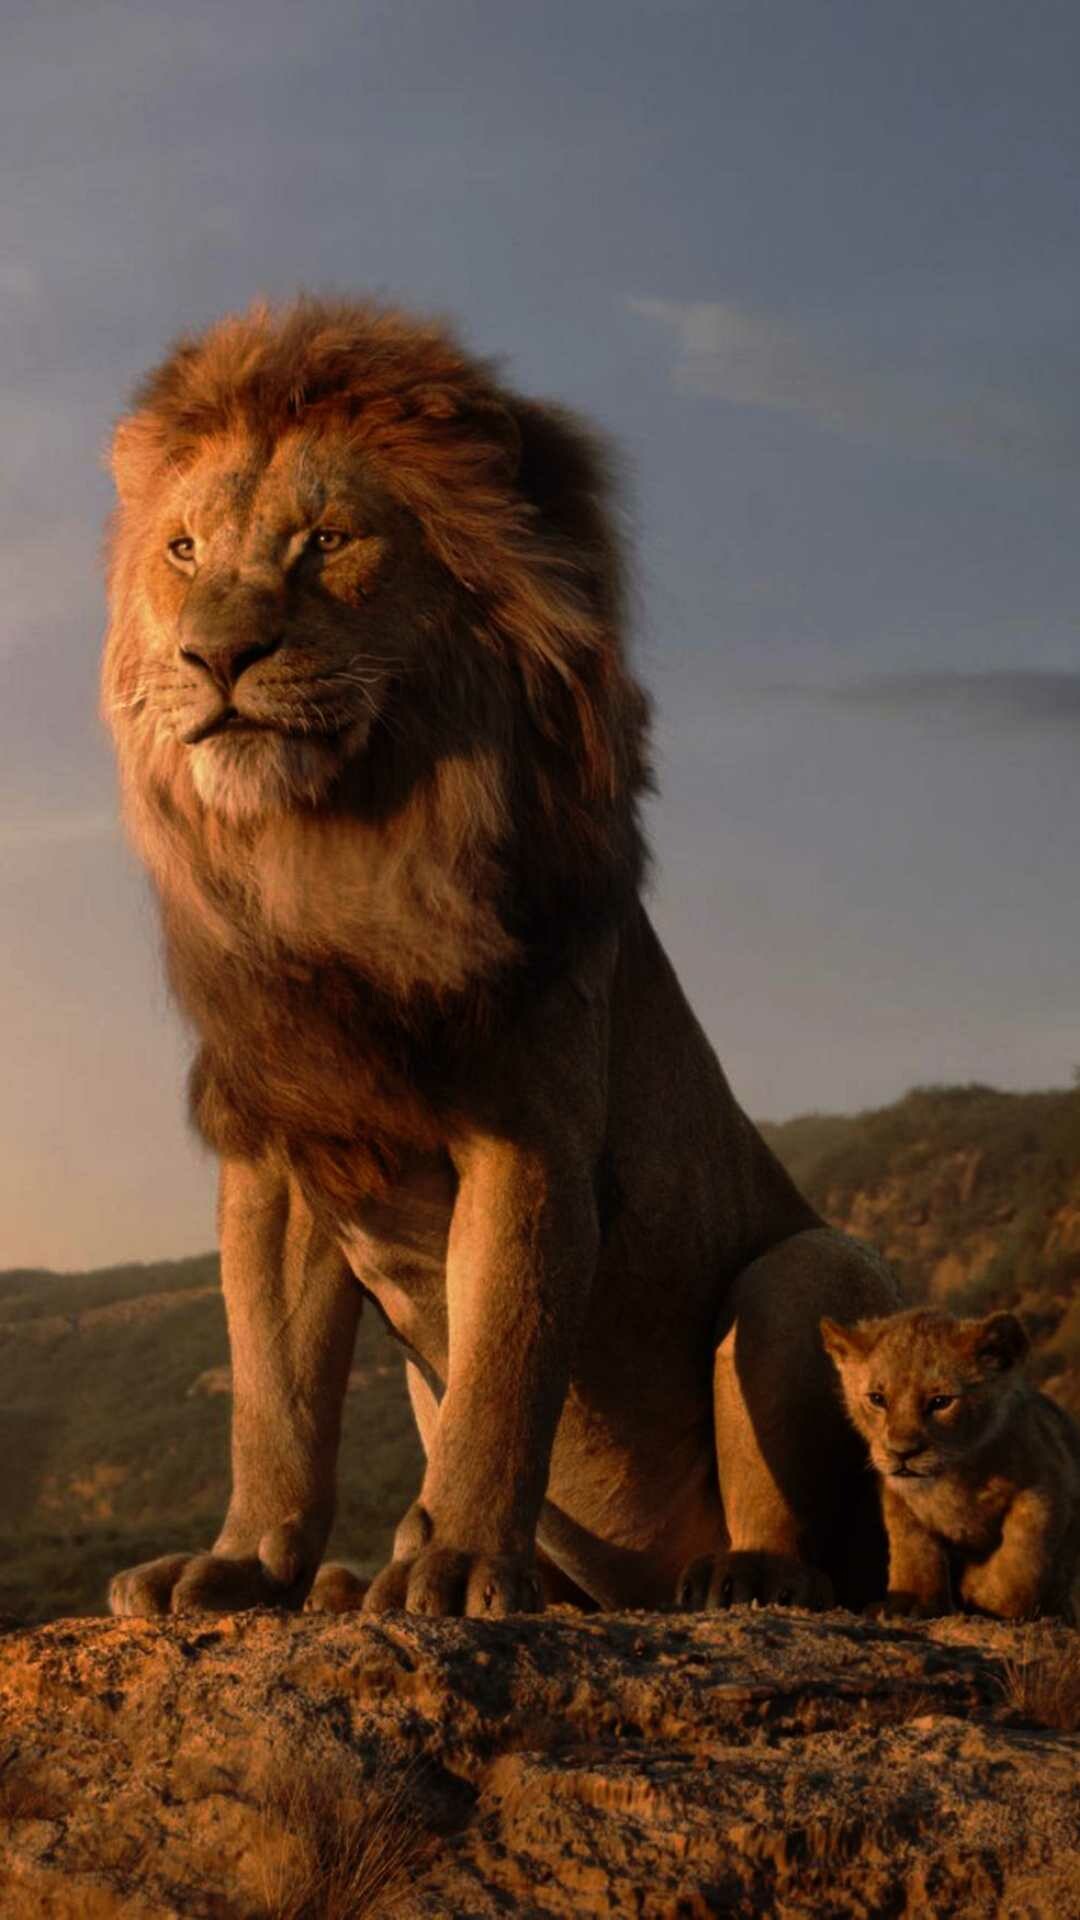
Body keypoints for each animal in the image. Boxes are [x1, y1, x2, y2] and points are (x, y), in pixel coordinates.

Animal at [102, 295, 898, 1621]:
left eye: (327, 541)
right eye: (182, 551)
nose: (215, 656)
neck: (330, 855)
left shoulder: (530, 1136)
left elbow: (503, 1372)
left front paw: (461, 1564)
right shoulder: (281, 1154)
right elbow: (274, 1399)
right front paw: (244, 1564)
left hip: (805, 1270)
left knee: (819, 1538)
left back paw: (739, 1576)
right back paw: (357, 1583)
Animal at [821, 1308, 1080, 1622]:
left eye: (941, 1402)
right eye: (877, 1399)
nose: (902, 1453)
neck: (953, 1478)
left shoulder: (1046, 1486)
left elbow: (1021, 1558)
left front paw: (984, 1591)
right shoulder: (898, 1498)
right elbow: (913, 1548)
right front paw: (912, 1603)